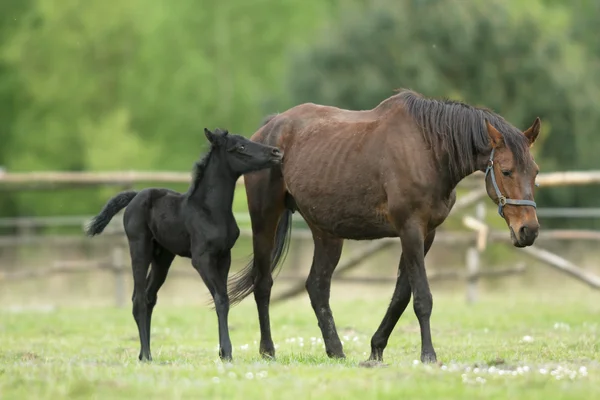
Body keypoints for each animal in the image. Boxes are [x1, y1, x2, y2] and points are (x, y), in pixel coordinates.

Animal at [85, 129, 282, 362]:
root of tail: (135, 196)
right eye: (240, 147)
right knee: (139, 299)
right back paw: (146, 355)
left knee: (150, 297)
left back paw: (145, 353)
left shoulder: (224, 257)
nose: (276, 152)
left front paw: (222, 352)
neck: (210, 210)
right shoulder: (201, 259)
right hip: (140, 248)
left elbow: (222, 297)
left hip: (163, 257)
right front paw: (226, 353)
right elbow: (221, 298)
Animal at [227, 90, 540, 366]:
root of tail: (269, 129)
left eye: (535, 172)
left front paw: (376, 348)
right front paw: (428, 355)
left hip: (326, 232)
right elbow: (422, 297)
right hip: (265, 219)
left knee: (317, 285)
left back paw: (336, 350)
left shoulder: (426, 234)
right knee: (264, 283)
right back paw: (268, 350)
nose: (529, 230)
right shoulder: (410, 230)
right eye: (506, 171)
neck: (428, 151)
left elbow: (401, 295)